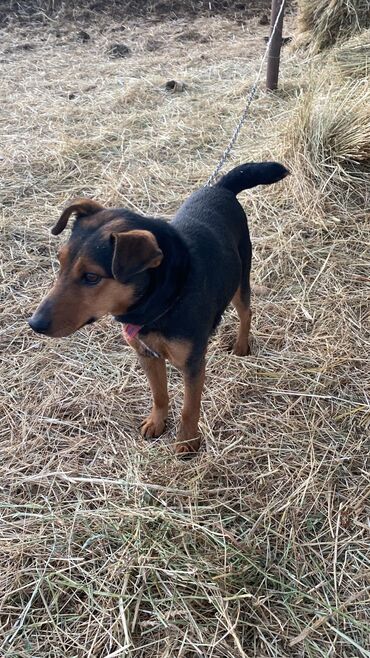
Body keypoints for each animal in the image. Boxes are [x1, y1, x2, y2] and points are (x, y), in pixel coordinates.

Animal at [28, 161, 290, 454]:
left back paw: (242, 346)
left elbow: (190, 408)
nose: (34, 324)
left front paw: (186, 442)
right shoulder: (146, 354)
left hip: (240, 279)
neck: (161, 299)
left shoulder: (193, 364)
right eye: (60, 262)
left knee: (246, 312)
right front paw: (157, 423)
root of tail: (221, 187)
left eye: (92, 277)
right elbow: (159, 394)